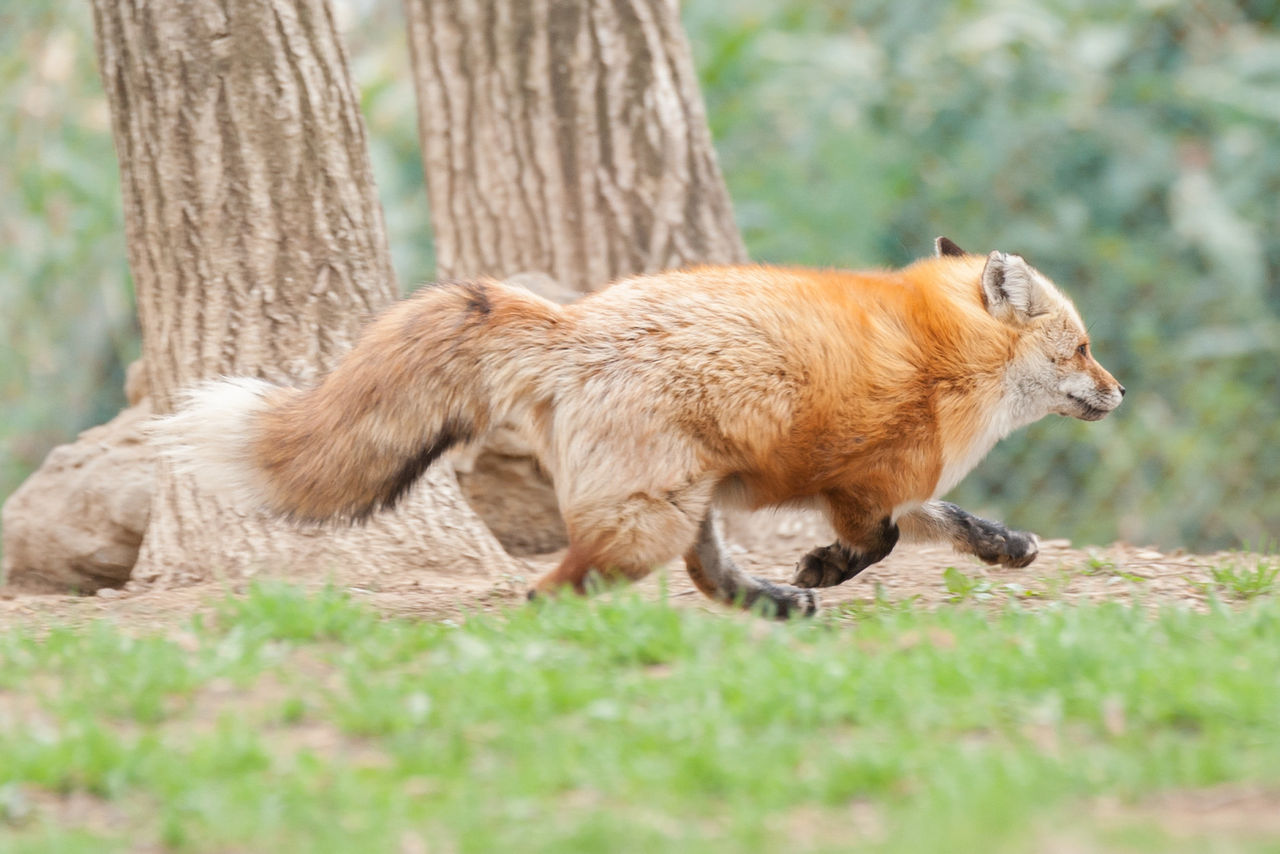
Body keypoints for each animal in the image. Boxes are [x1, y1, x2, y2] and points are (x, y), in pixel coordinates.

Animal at [153, 237, 1124, 617]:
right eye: (1082, 347)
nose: (1121, 393)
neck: (944, 351)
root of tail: (570, 322)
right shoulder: (862, 483)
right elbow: (879, 543)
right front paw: (822, 568)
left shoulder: (893, 485)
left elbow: (951, 523)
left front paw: (1006, 546)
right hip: (644, 520)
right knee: (554, 586)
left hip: (681, 506)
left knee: (706, 576)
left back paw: (772, 606)